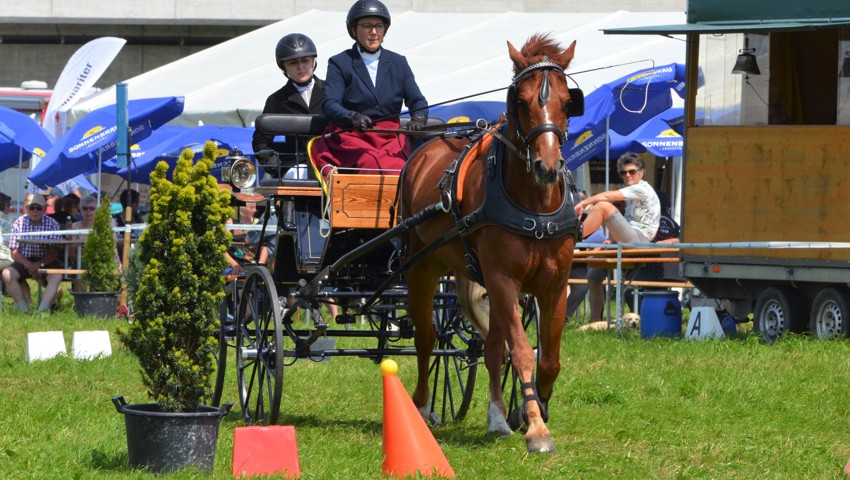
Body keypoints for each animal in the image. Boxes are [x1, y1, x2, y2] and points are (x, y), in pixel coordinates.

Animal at [396, 34, 576, 454]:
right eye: (521, 101)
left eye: (567, 101)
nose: (547, 167)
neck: (534, 203)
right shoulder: (504, 279)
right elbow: (522, 351)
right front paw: (536, 430)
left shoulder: (554, 284)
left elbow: (548, 359)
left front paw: (531, 410)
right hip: (422, 266)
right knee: (427, 338)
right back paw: (422, 408)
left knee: (493, 347)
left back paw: (496, 420)